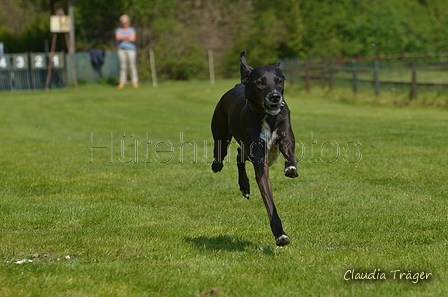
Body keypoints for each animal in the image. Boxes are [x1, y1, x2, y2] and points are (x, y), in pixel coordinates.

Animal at [212, 50, 300, 245]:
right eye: (260, 82)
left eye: (279, 80)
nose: (275, 96)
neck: (266, 116)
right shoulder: (260, 160)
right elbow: (268, 199)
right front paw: (280, 235)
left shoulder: (285, 133)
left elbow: (290, 153)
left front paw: (290, 166)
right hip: (221, 135)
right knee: (223, 154)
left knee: (240, 154)